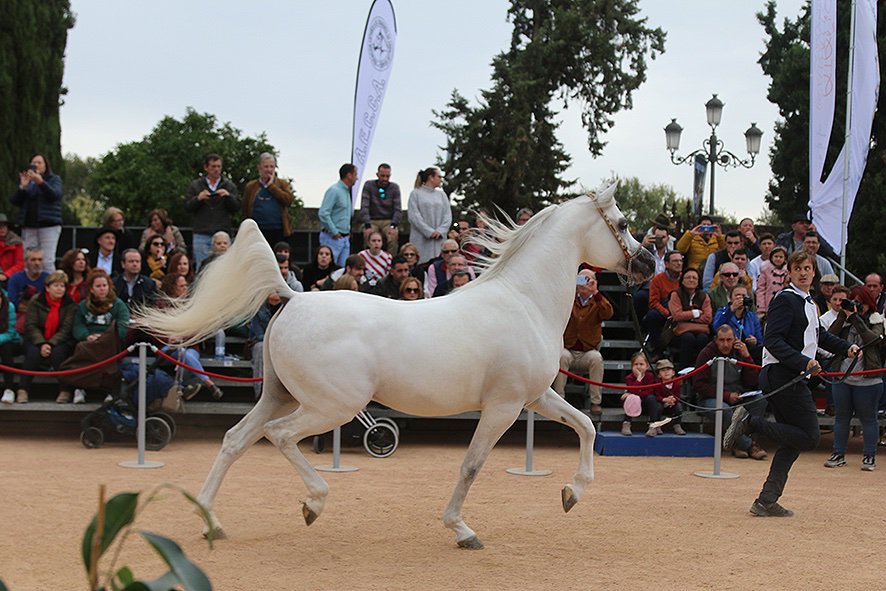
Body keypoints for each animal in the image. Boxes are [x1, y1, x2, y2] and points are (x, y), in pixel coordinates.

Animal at [134, 184, 655, 549]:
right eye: (623, 222)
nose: (649, 263)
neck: (524, 300)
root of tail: (294, 297)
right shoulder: (504, 407)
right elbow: (472, 465)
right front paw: (462, 530)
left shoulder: (536, 397)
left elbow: (586, 425)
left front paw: (572, 494)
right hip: (331, 406)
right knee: (278, 437)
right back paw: (312, 503)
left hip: (279, 396)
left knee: (235, 440)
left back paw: (211, 521)